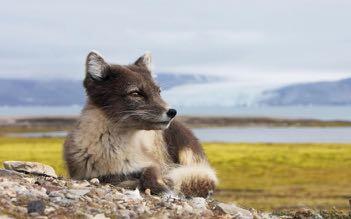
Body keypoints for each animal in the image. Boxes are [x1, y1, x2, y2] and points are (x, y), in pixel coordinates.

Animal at [63, 51, 217, 197]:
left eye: (158, 91)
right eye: (136, 93)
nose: (172, 112)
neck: (114, 150)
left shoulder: (154, 163)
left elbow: (150, 172)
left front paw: (161, 186)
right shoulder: (87, 174)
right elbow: (107, 178)